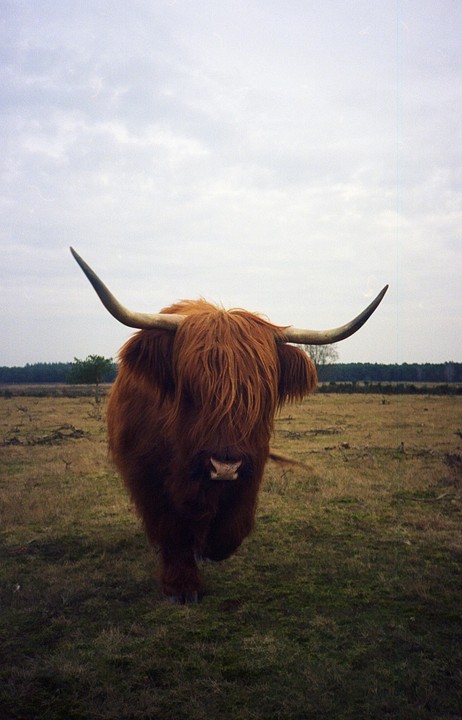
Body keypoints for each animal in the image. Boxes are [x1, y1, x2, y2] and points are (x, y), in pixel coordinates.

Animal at [71, 248, 387, 602]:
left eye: (262, 395)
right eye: (190, 389)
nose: (224, 465)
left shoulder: (251, 468)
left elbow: (232, 528)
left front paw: (209, 548)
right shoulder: (146, 475)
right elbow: (172, 529)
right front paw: (181, 587)